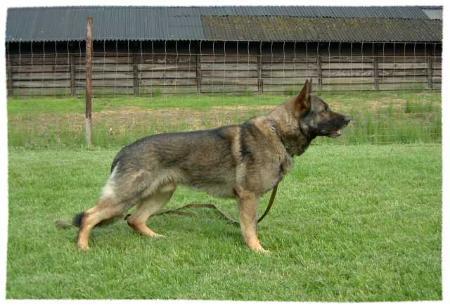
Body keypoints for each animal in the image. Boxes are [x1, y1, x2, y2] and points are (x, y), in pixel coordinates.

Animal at [72, 80, 350, 254]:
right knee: (89, 215)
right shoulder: (248, 197)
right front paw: (257, 250)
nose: (349, 119)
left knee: (134, 219)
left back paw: (155, 238)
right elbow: (250, 227)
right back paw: (83, 247)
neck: (278, 132)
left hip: (161, 195)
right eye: (325, 110)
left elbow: (251, 225)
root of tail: (124, 150)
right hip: (126, 196)